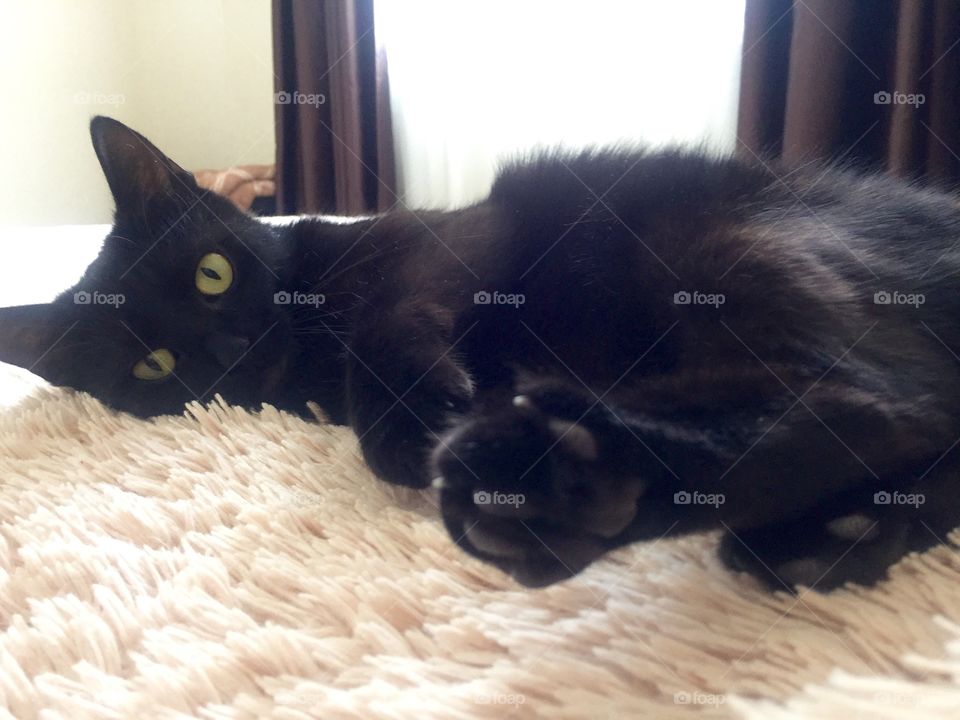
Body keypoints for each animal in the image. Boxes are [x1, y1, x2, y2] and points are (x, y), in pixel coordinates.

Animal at [1, 116, 960, 592]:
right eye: (152, 366)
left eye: (211, 274)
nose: (231, 350)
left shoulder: (445, 249)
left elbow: (386, 323)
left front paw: (411, 424)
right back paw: (829, 536)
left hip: (722, 246)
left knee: (881, 400)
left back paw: (541, 471)